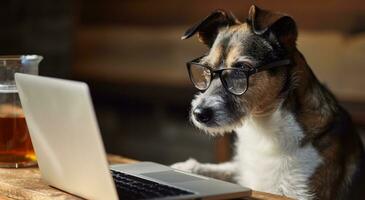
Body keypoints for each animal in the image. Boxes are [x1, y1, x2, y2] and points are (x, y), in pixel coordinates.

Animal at [171, 4, 364, 200]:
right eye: (206, 69)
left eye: (241, 69)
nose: (198, 114)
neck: (263, 128)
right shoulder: (244, 170)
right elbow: (227, 167)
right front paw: (186, 167)